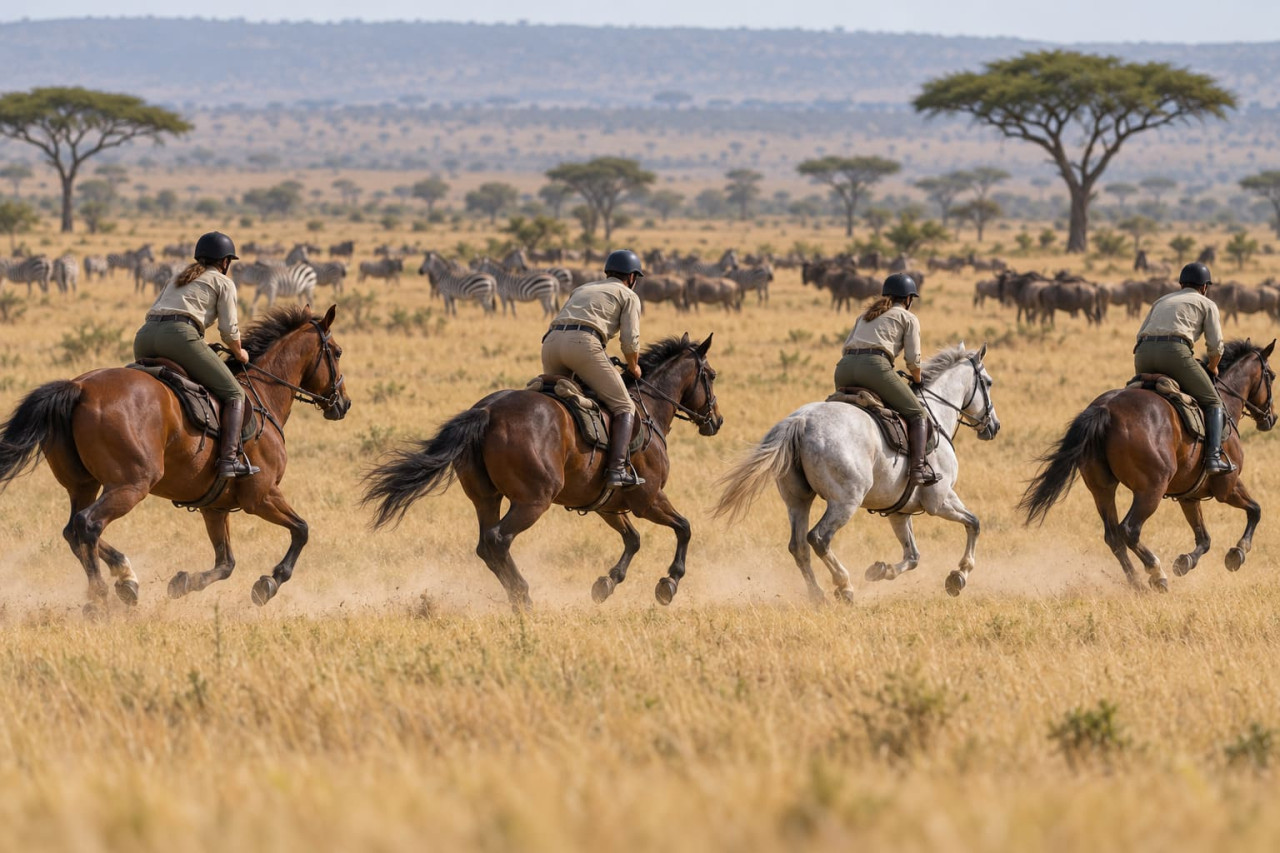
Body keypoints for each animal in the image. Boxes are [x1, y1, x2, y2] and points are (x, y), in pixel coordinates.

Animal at [0, 305, 352, 614]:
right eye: (336, 352)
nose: (344, 403)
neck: (262, 396)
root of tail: (78, 387)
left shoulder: (215, 508)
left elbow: (226, 563)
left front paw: (182, 583)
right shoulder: (262, 495)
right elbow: (302, 530)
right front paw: (269, 583)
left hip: (83, 485)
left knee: (73, 530)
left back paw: (125, 580)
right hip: (132, 484)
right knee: (88, 525)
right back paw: (101, 598)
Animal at [362, 334, 722, 609]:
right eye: (712, 375)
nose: (717, 420)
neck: (650, 410)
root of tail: (487, 411)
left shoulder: (607, 505)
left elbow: (632, 540)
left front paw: (606, 583)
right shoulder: (648, 500)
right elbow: (684, 528)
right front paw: (669, 583)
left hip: (486, 498)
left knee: (485, 545)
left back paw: (516, 596)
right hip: (534, 500)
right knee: (498, 540)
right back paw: (523, 595)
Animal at [714, 344, 1000, 601]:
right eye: (988, 382)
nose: (994, 426)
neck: (936, 413)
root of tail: (801, 421)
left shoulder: (899, 512)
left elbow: (913, 556)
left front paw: (880, 570)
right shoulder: (939, 501)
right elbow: (974, 524)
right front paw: (959, 576)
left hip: (797, 501)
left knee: (798, 546)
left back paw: (817, 594)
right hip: (846, 501)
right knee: (818, 538)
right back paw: (844, 586)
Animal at [1020, 339, 1276, 591]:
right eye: (1272, 376)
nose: (1272, 418)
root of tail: (1106, 408)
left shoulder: (1189, 496)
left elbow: (1204, 538)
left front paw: (1185, 562)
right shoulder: (1227, 487)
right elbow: (1255, 510)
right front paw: (1237, 553)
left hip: (1102, 490)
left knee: (1113, 536)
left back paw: (1136, 583)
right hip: (1151, 489)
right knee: (1129, 530)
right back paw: (1157, 574)